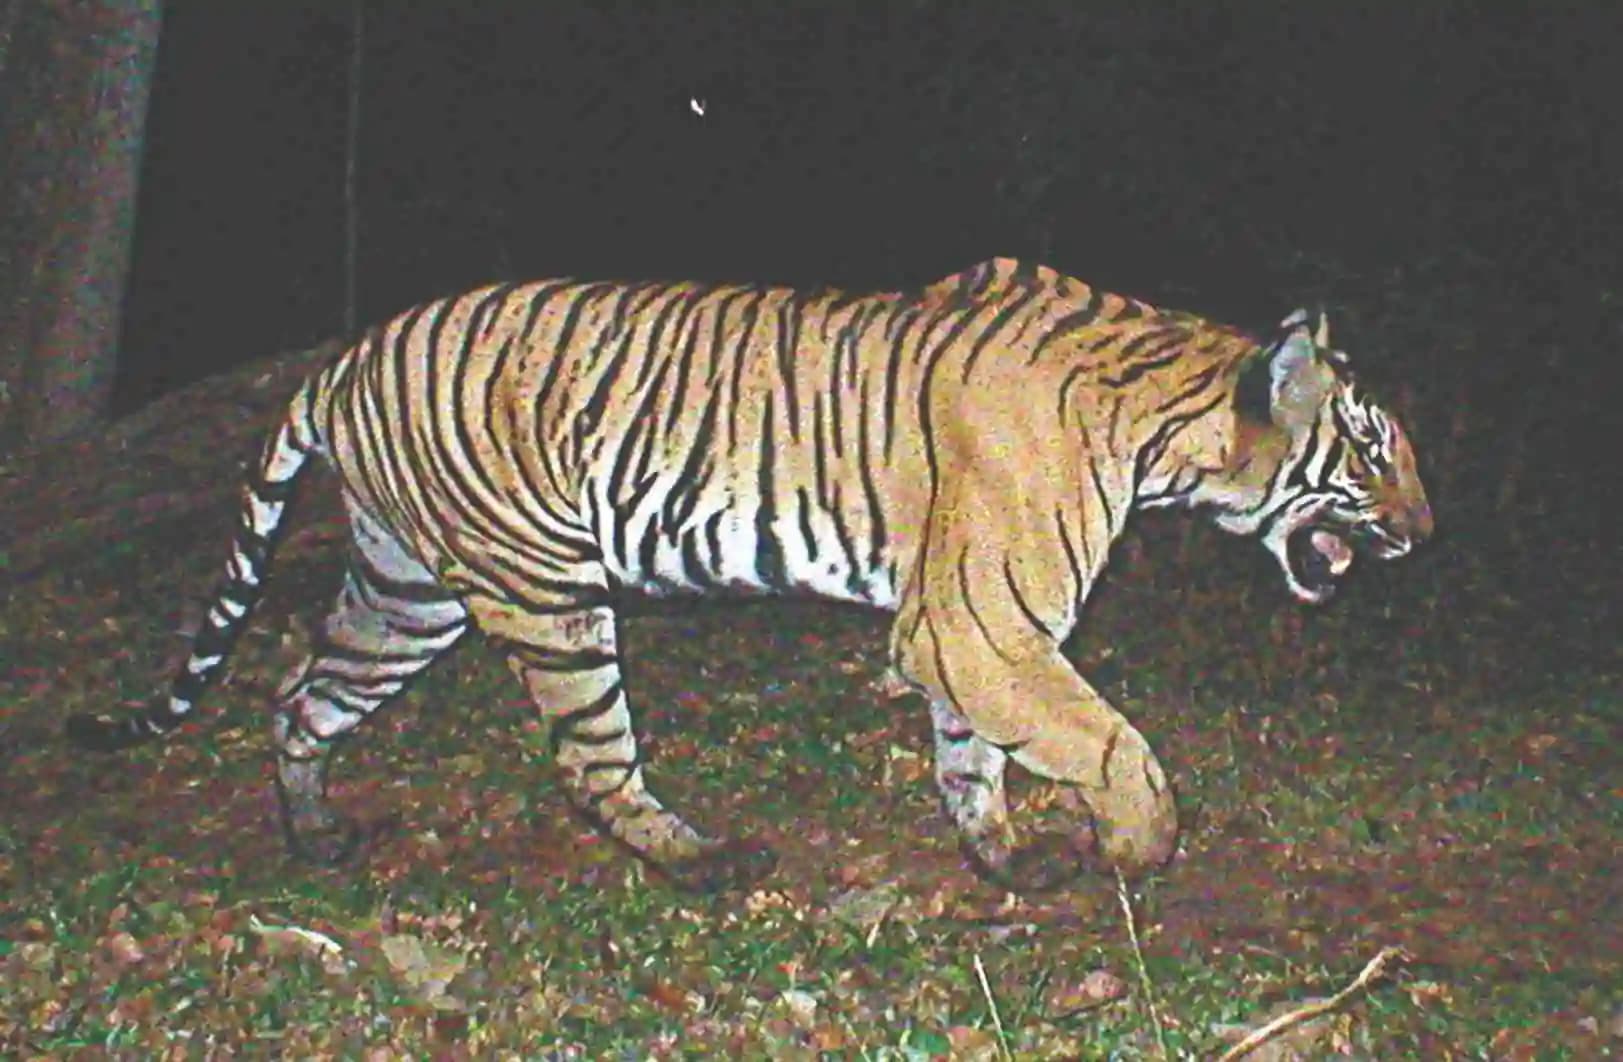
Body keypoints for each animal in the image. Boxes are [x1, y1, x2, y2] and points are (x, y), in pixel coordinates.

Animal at [68, 257, 1432, 892]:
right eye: (1371, 450)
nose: (1426, 531)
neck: (1164, 430)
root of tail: (345, 355)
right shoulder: (981, 622)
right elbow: (1103, 739)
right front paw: (1142, 848)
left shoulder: (964, 633)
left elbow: (975, 758)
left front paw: (1003, 862)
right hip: (546, 590)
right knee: (590, 762)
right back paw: (702, 862)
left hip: (409, 591)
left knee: (299, 693)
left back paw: (314, 838)